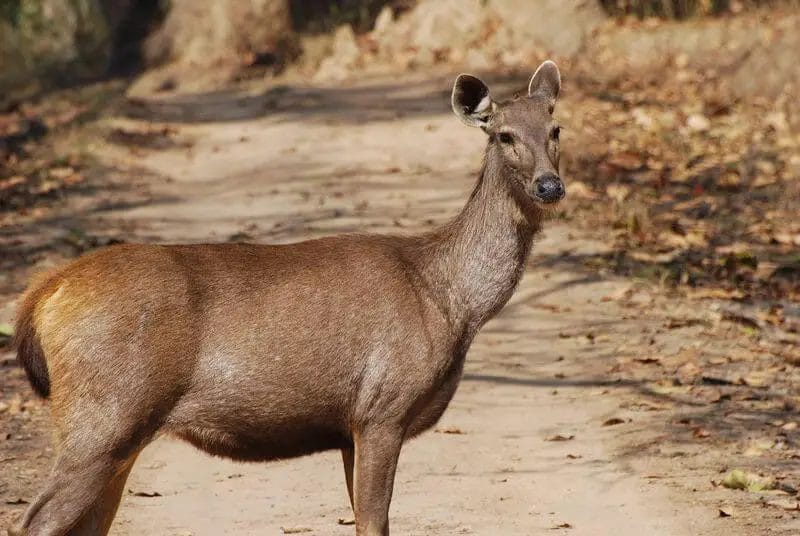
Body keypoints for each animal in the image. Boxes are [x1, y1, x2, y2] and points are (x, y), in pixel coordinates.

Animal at [9, 60, 565, 536]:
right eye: (503, 134)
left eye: (555, 129)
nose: (550, 186)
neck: (450, 301)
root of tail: (45, 294)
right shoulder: (381, 408)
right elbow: (374, 522)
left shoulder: (349, 427)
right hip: (103, 417)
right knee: (35, 520)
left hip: (116, 432)